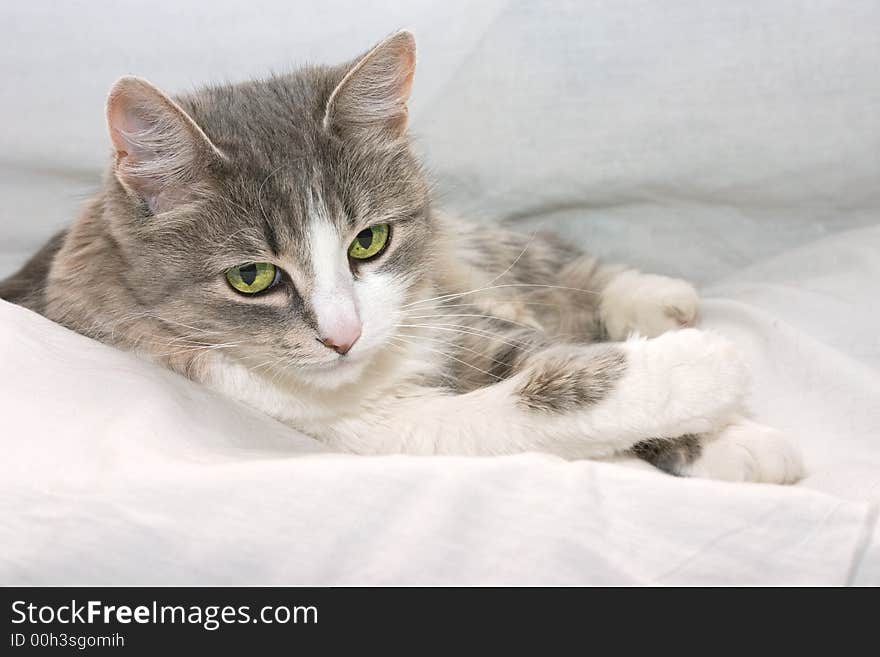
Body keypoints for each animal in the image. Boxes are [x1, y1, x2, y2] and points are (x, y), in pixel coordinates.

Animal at [0, 30, 804, 482]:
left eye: (369, 241)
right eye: (252, 277)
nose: (344, 336)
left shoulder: (442, 315)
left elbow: (527, 348)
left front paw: (728, 431)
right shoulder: (362, 424)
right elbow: (533, 399)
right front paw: (707, 379)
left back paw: (650, 295)